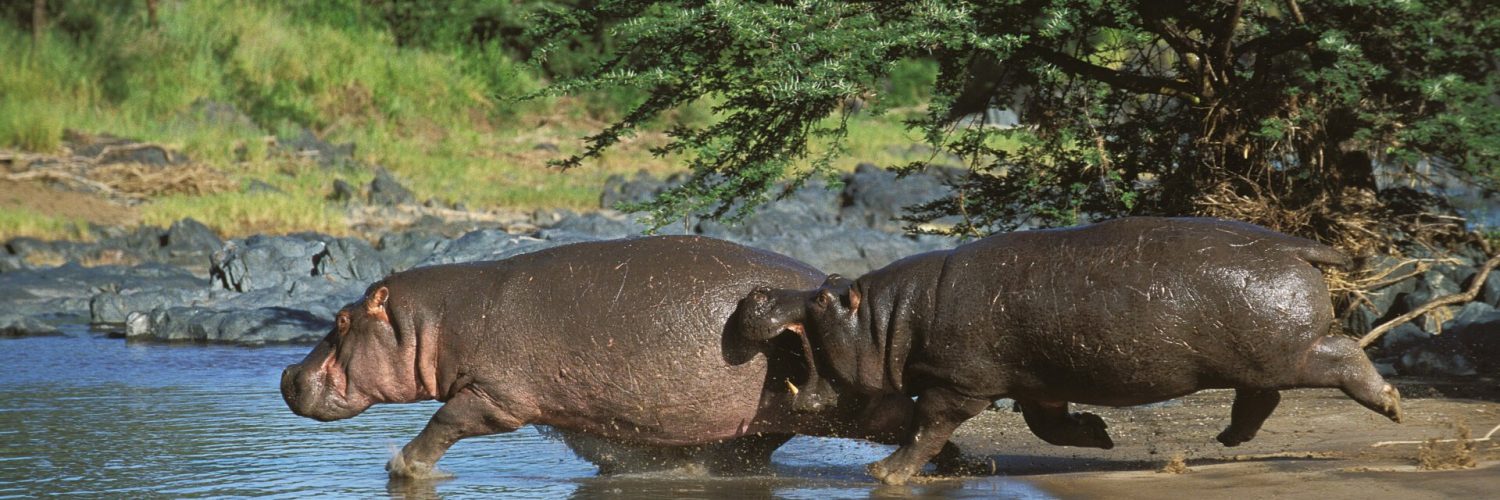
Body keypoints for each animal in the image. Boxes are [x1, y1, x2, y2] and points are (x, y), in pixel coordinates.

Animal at [282, 235, 960, 477]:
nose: (287, 373)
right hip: (785, 415)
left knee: (918, 421)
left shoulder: (494, 397)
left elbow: (443, 422)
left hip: (854, 406)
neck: (436, 320)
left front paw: (403, 466)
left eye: (340, 320)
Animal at [738, 217, 1404, 483]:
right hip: (1256, 356)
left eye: (823, 298)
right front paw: (1100, 436)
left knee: (1344, 356)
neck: (890, 320)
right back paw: (1228, 440)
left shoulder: (958, 385)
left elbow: (926, 428)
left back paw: (1393, 405)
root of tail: (1299, 246)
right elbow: (1049, 426)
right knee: (1259, 398)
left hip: (1292, 351)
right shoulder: (1037, 383)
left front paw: (884, 474)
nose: (761, 292)